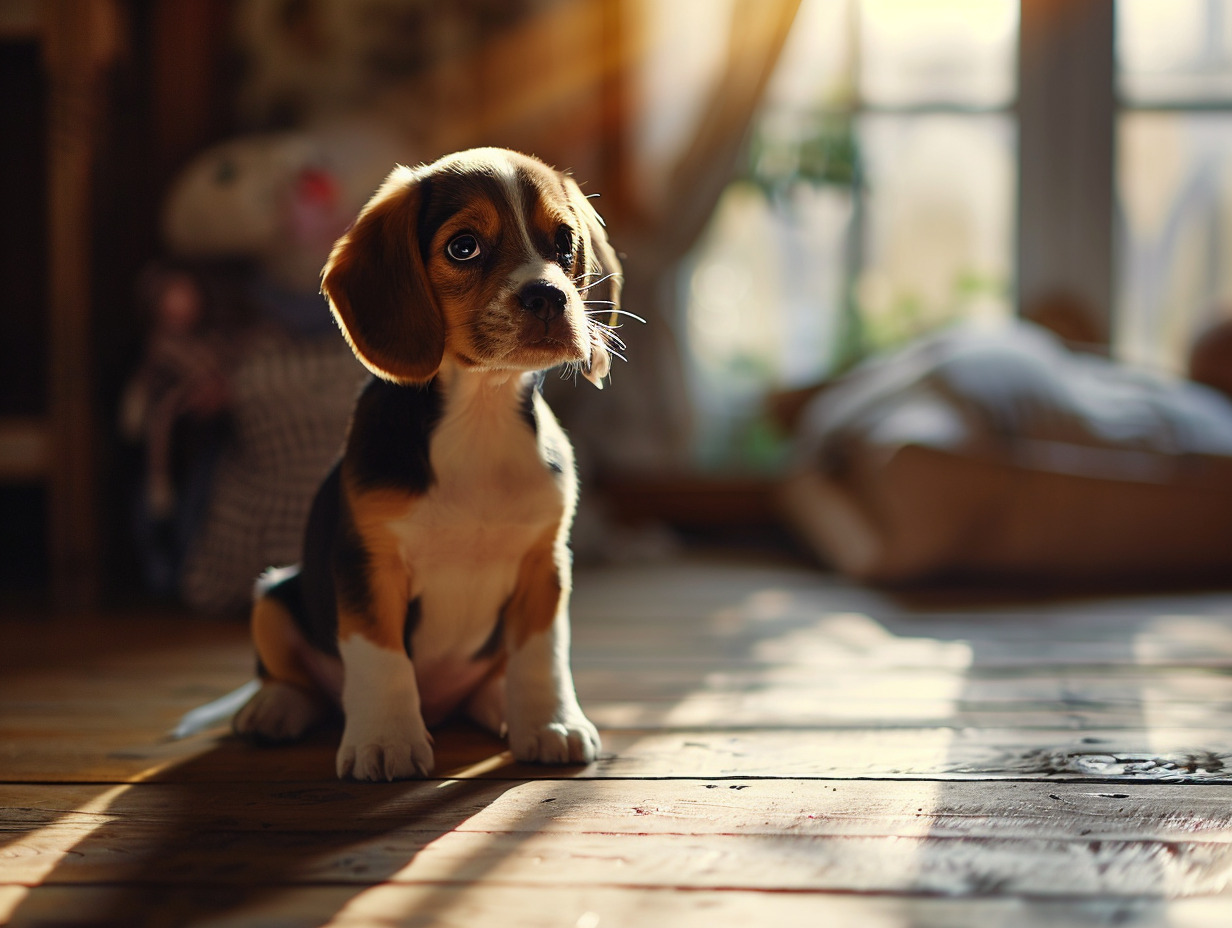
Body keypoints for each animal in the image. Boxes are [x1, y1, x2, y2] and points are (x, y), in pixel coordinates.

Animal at [234, 148, 625, 778]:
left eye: (564, 243)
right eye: (463, 247)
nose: (549, 295)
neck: (479, 415)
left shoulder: (544, 565)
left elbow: (541, 654)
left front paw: (550, 723)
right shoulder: (369, 565)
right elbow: (381, 658)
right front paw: (385, 741)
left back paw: (497, 705)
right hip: (272, 596)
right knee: (300, 680)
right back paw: (274, 708)